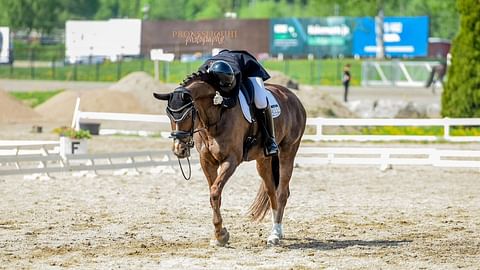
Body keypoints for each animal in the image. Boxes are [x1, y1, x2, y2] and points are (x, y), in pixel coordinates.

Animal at [154, 72, 306, 247]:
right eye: (169, 115)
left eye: (189, 114)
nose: (179, 149)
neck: (216, 115)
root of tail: (293, 97)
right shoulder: (207, 162)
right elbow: (214, 195)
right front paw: (218, 234)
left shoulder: (231, 160)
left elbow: (215, 191)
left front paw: (221, 235)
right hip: (263, 160)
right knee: (271, 191)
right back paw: (277, 231)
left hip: (288, 151)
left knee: (282, 192)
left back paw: (275, 235)